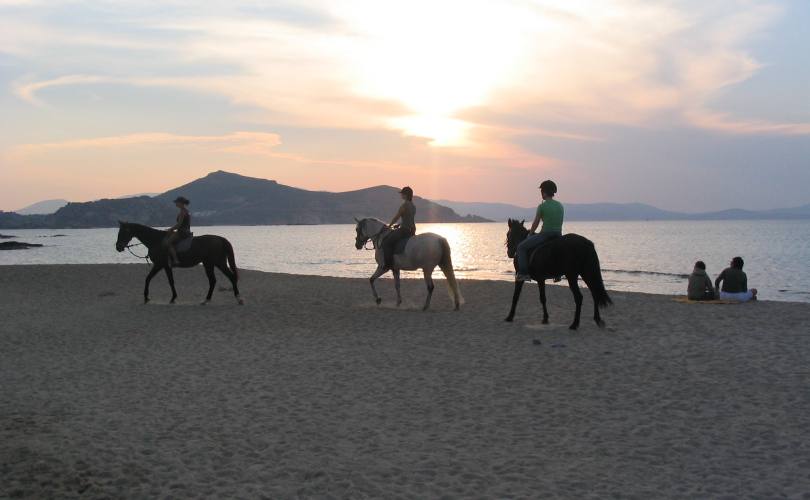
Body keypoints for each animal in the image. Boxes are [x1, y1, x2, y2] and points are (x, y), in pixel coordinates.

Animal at [113, 222, 241, 304]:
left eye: (123, 232)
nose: (118, 247)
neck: (156, 240)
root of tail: (221, 239)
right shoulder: (163, 266)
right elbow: (151, 279)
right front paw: (148, 297)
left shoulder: (161, 265)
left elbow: (164, 280)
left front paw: (150, 297)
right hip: (209, 264)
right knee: (213, 281)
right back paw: (206, 300)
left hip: (218, 263)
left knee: (230, 277)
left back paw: (238, 298)